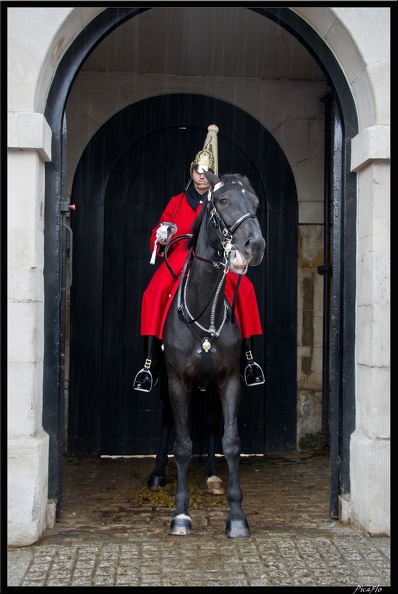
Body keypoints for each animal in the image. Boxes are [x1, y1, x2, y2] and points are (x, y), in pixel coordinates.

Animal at [155, 172, 264, 536]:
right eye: (223, 201)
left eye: (255, 203)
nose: (255, 246)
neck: (205, 307)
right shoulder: (177, 382)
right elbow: (183, 445)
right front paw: (180, 514)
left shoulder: (229, 381)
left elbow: (231, 442)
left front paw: (237, 515)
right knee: (167, 422)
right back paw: (157, 474)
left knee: (212, 423)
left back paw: (213, 474)